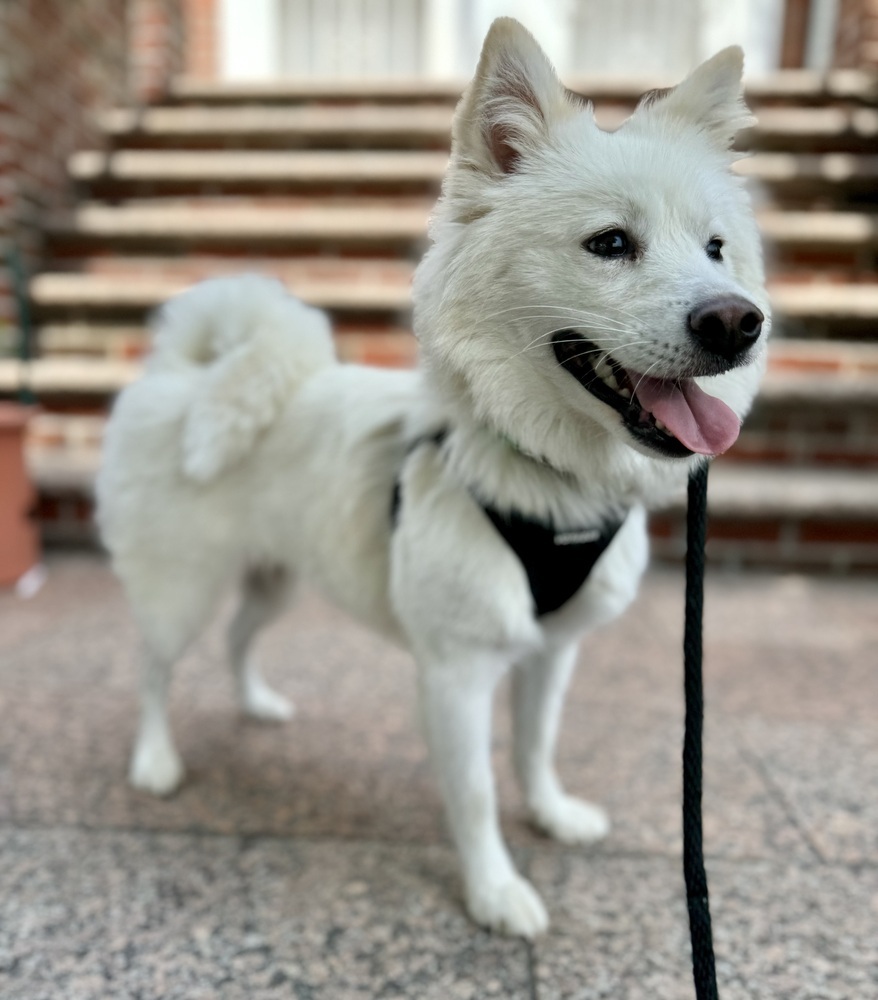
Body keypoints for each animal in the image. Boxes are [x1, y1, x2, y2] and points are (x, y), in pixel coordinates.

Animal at [96, 19, 768, 940]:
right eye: (609, 243)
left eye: (716, 250)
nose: (738, 321)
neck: (545, 477)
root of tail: (187, 367)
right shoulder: (455, 673)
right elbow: (477, 792)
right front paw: (496, 893)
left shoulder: (552, 650)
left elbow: (536, 745)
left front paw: (552, 815)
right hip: (181, 586)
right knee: (153, 669)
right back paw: (155, 762)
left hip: (275, 575)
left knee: (238, 638)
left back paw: (258, 705)